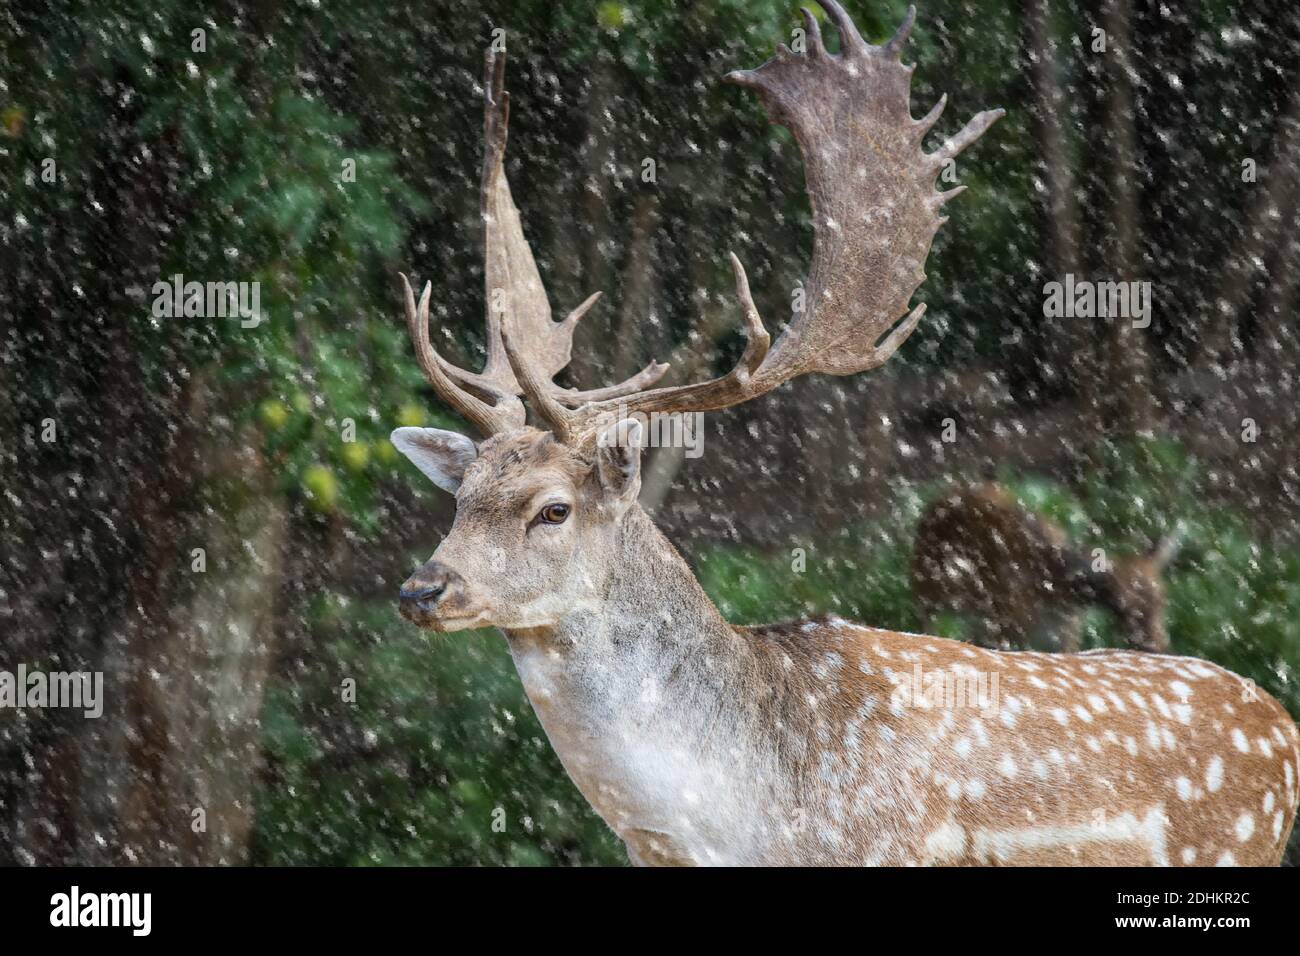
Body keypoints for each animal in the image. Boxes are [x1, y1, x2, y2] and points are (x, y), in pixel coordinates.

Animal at [912, 483, 1183, 654]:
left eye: (1163, 599)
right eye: (1122, 606)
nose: (1158, 646)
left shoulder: (1065, 636)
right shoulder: (1007, 625)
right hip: (930, 586)